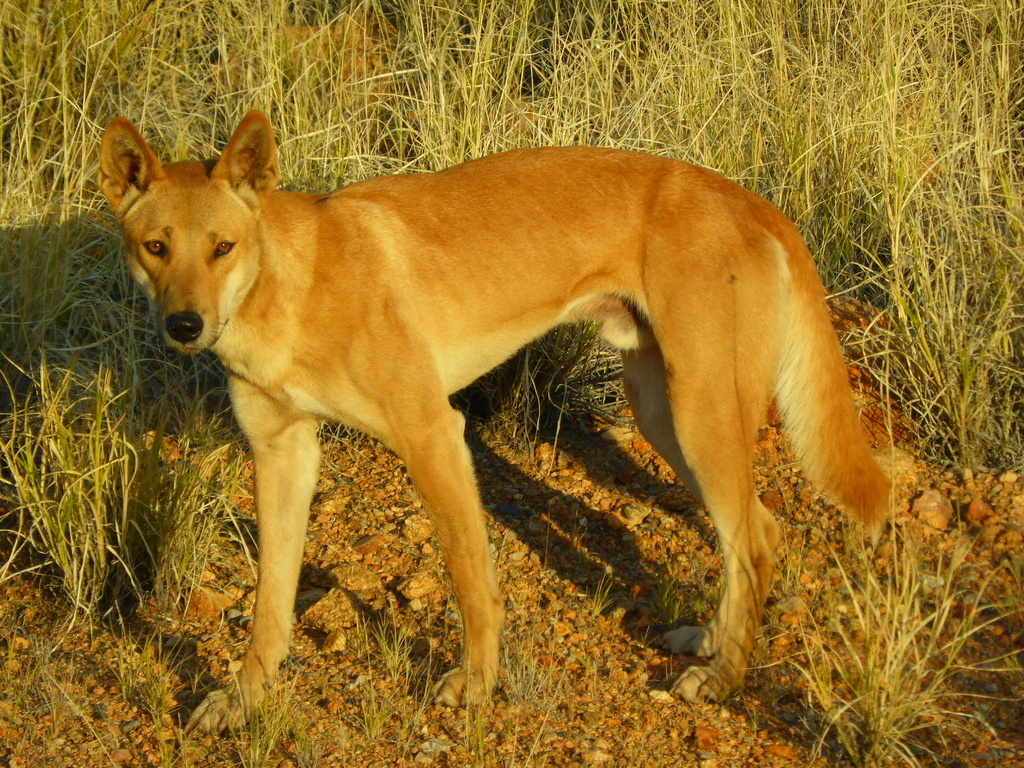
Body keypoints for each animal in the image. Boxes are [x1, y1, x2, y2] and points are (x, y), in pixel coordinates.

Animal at [99, 112, 892, 733]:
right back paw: (717, 643)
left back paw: (725, 678)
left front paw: (476, 686)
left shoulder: (432, 434)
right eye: (156, 246)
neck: (290, 287)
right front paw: (243, 699)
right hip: (664, 412)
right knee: (761, 528)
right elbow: (271, 601)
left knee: (751, 539)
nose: (184, 325)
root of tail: (751, 200)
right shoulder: (281, 452)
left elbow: (471, 580)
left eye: (223, 247)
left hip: (699, 412)